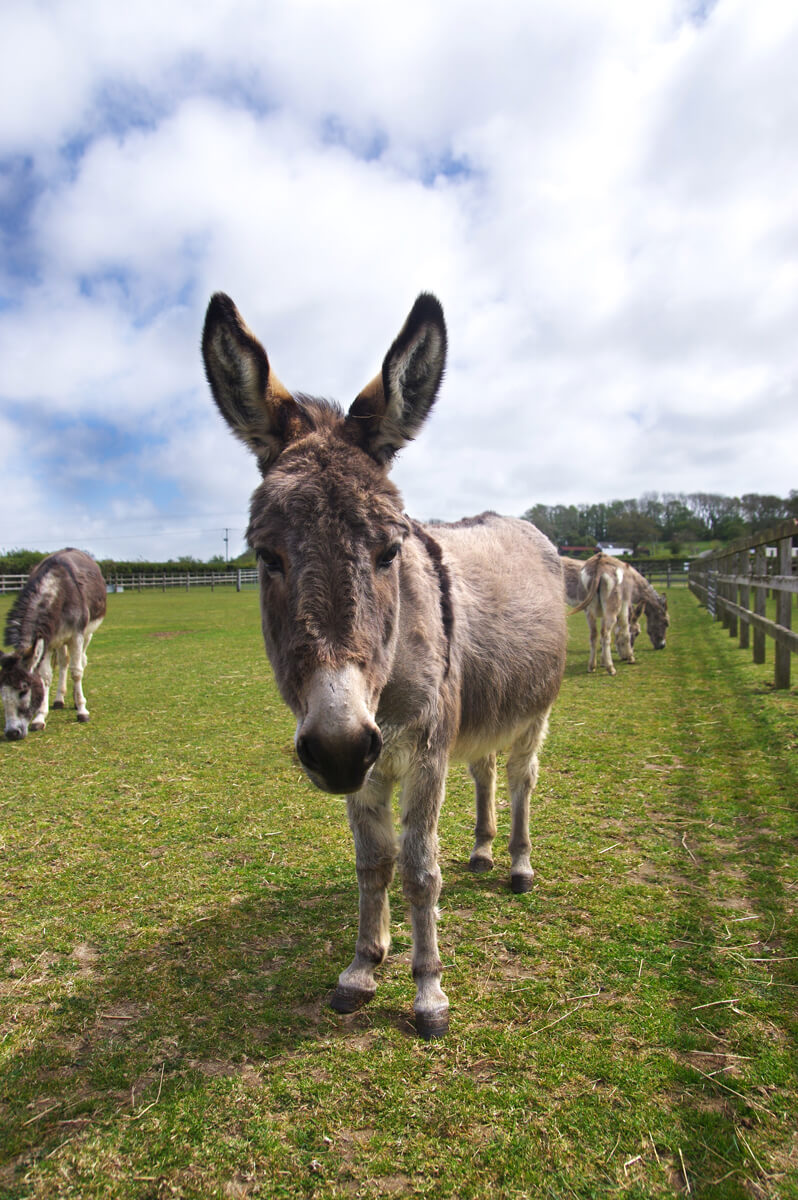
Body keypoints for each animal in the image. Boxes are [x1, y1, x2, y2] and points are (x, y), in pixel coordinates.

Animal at [1, 549, 106, 739]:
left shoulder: (76, 636)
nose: (12, 733)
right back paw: (58, 700)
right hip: (59, 641)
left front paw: (82, 711)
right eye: (1, 691)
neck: (57, 591)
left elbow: (76, 672)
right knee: (64, 662)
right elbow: (45, 677)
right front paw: (40, 718)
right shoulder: (47, 641)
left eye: (23, 690)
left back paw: (75, 699)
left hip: (87, 633)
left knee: (81, 661)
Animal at [203, 291, 567, 1038]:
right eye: (266, 555)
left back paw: (517, 865)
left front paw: (429, 991)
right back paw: (482, 851)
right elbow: (374, 865)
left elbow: (419, 871)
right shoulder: (363, 764)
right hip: (472, 719)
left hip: (532, 715)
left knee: (521, 780)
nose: (341, 746)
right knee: (486, 772)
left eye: (389, 550)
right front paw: (364, 966)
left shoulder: (422, 754)